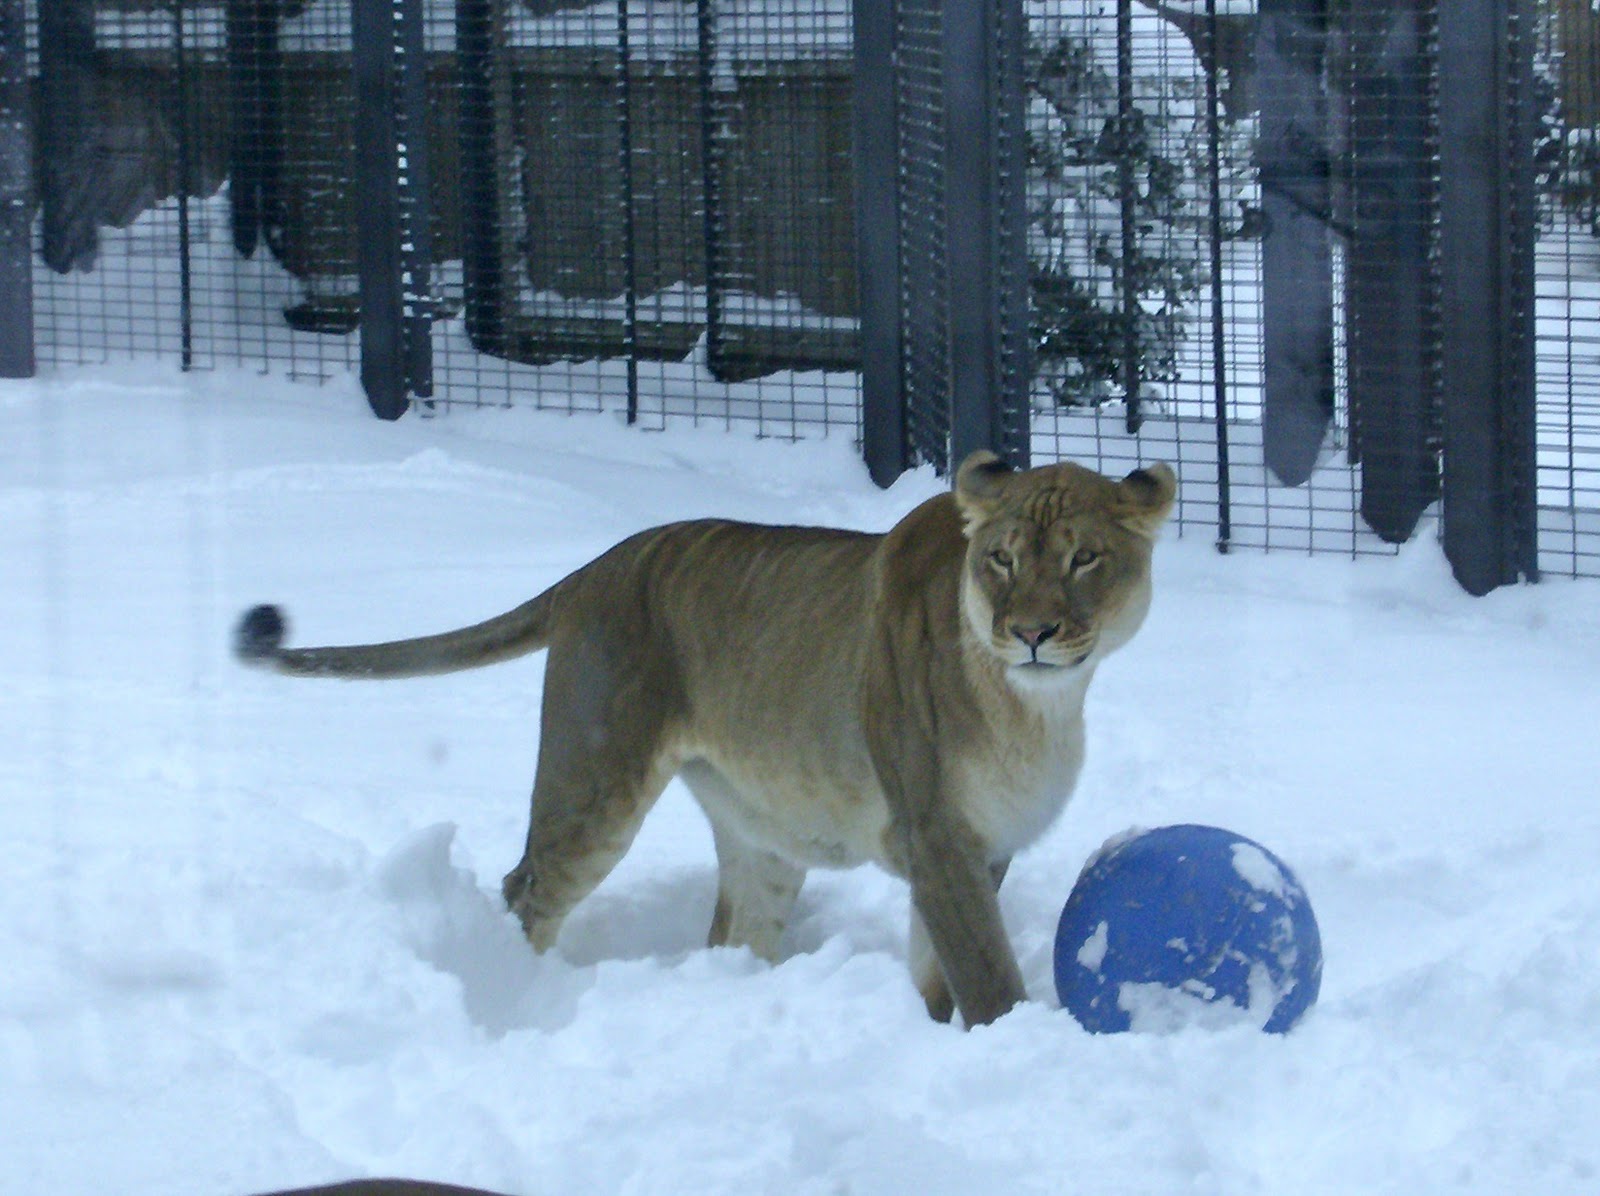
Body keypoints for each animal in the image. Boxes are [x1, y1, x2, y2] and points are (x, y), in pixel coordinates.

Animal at [234, 450, 1175, 1026]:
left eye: (1085, 559)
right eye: (1003, 560)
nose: (1032, 633)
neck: (1038, 706)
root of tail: (591, 571)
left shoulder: (981, 846)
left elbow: (940, 972)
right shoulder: (935, 834)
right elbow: (988, 978)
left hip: (764, 834)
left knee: (732, 932)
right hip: (595, 780)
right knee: (525, 888)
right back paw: (513, 995)